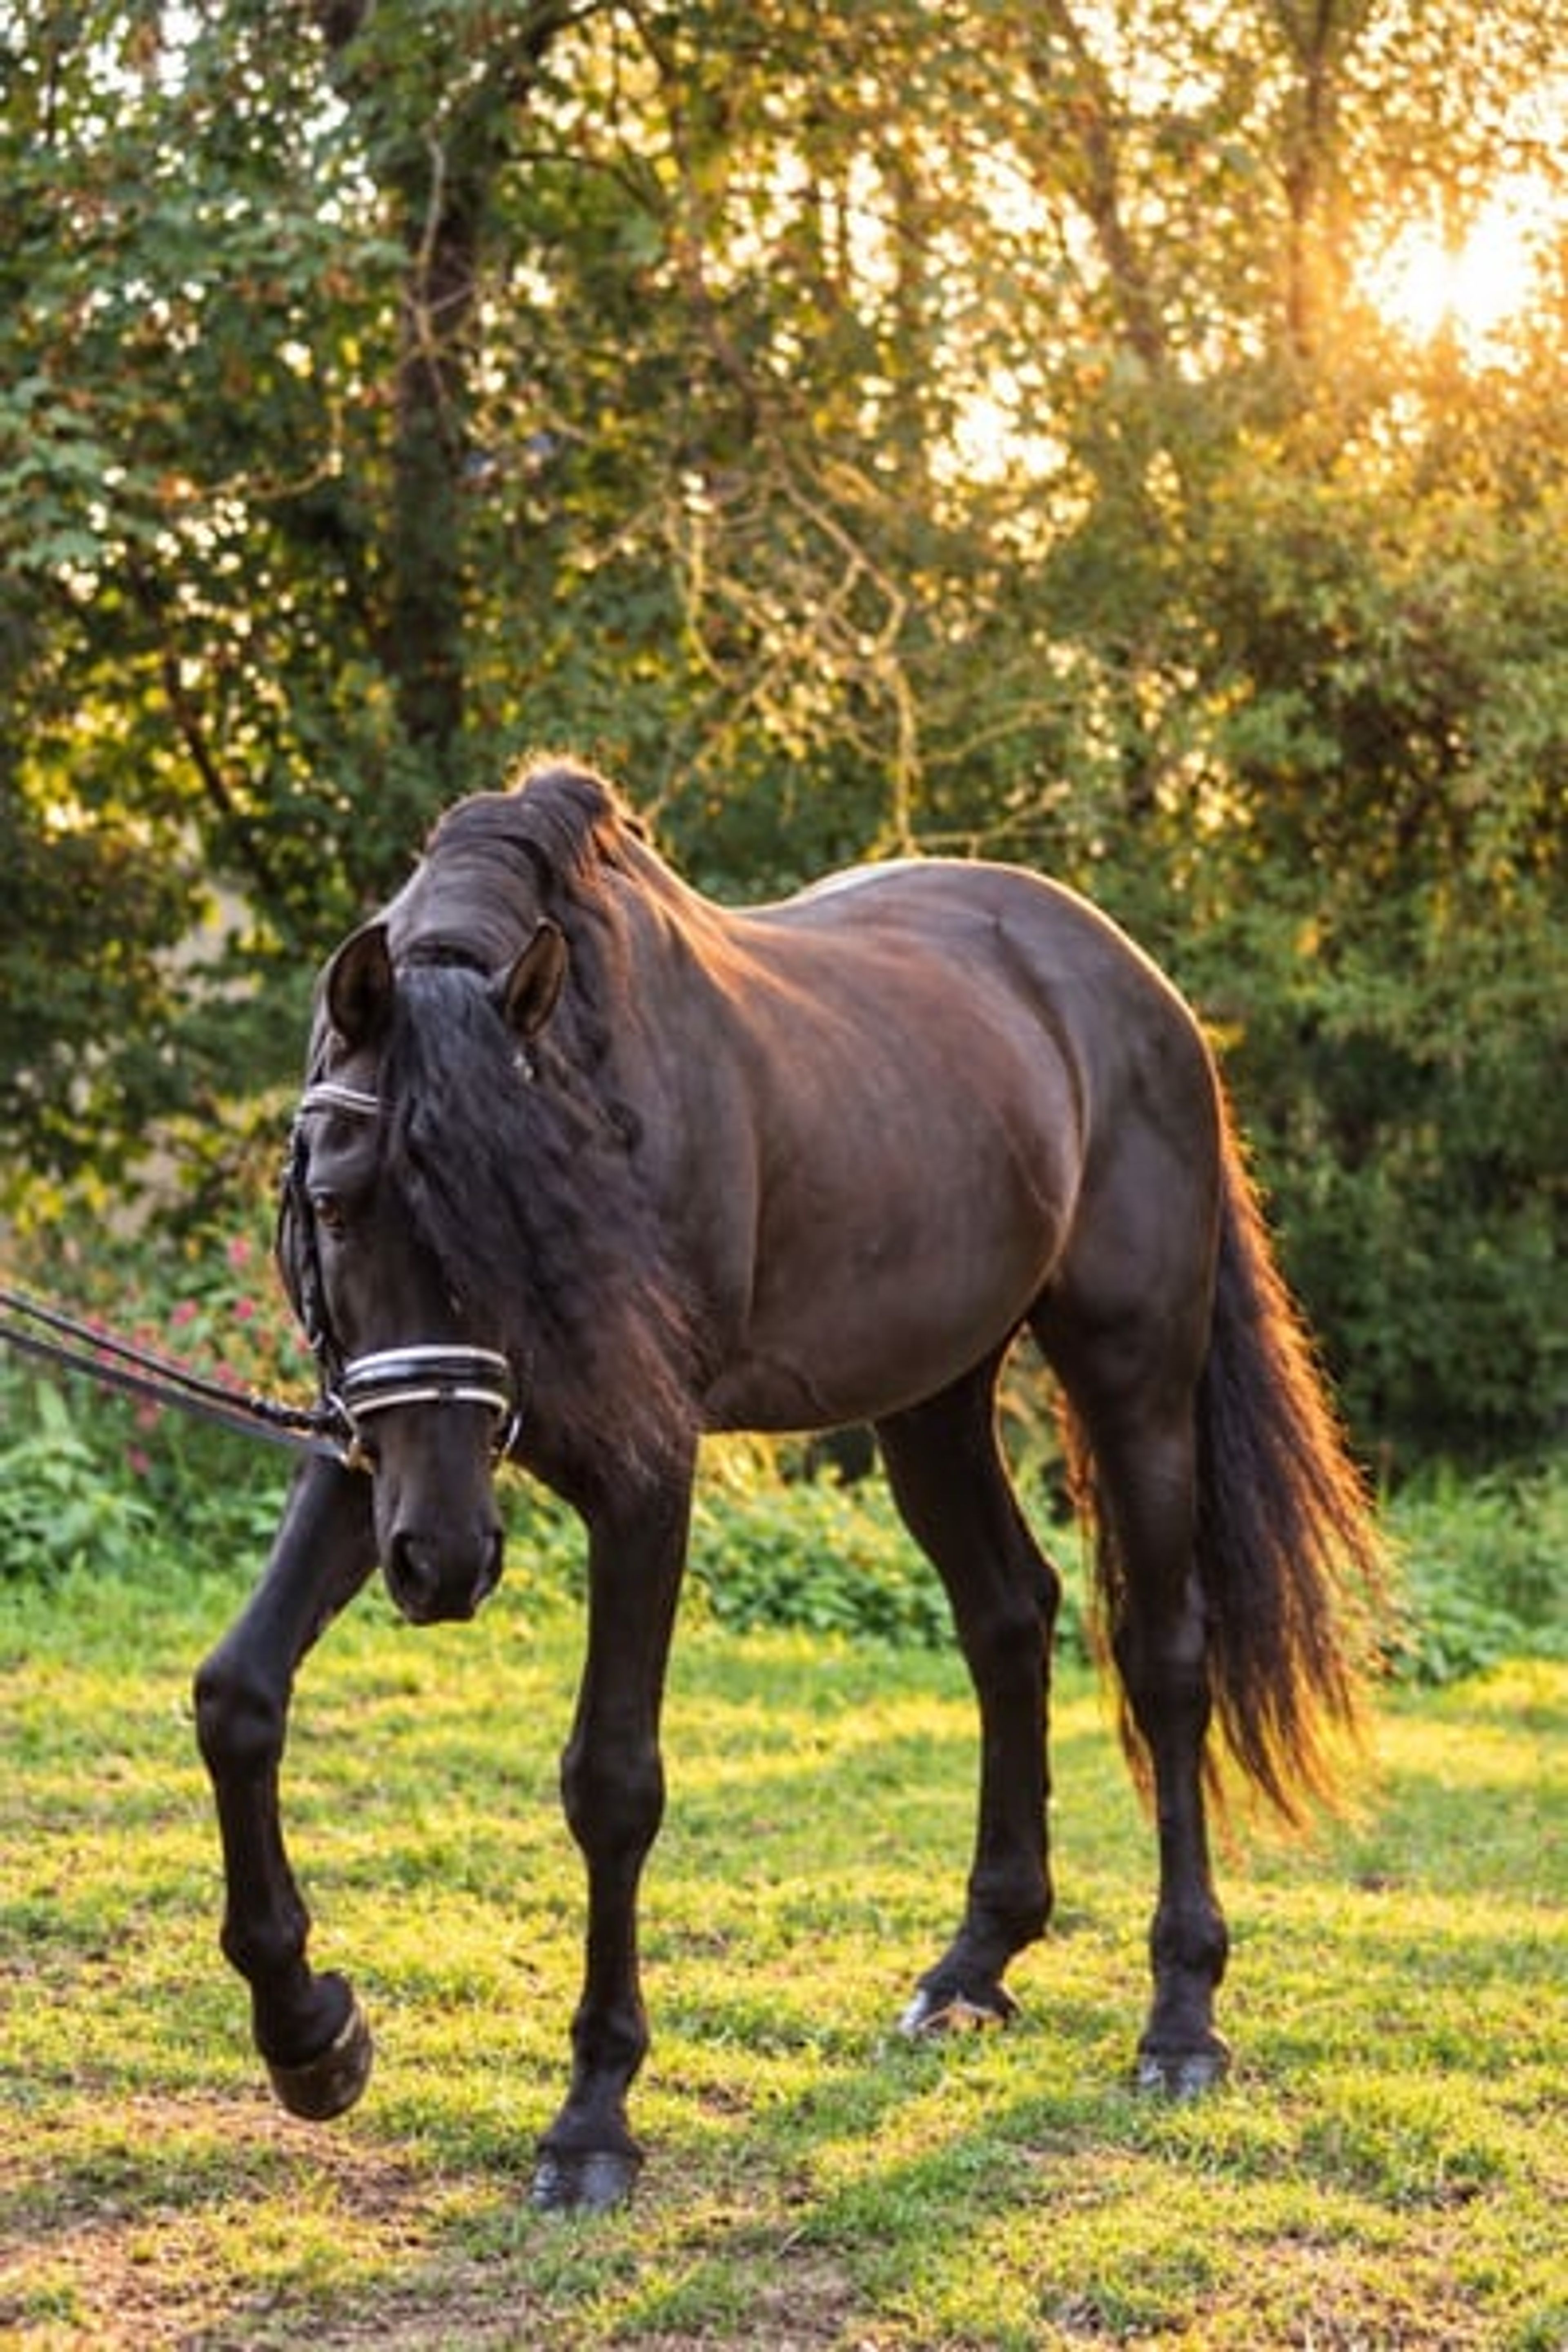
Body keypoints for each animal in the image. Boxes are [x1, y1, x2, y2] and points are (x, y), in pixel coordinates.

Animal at [193, 758, 1385, 2213]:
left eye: (523, 1215)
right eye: (339, 1204)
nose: (447, 1567)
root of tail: (1131, 986)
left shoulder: (637, 1473)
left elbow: (613, 1781)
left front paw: (592, 2119)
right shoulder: (379, 1450)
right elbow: (238, 1696)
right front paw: (312, 2034)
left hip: (1135, 1376)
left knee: (1164, 1662)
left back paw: (1180, 2017)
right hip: (930, 1399)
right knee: (1009, 1616)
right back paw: (975, 1964)